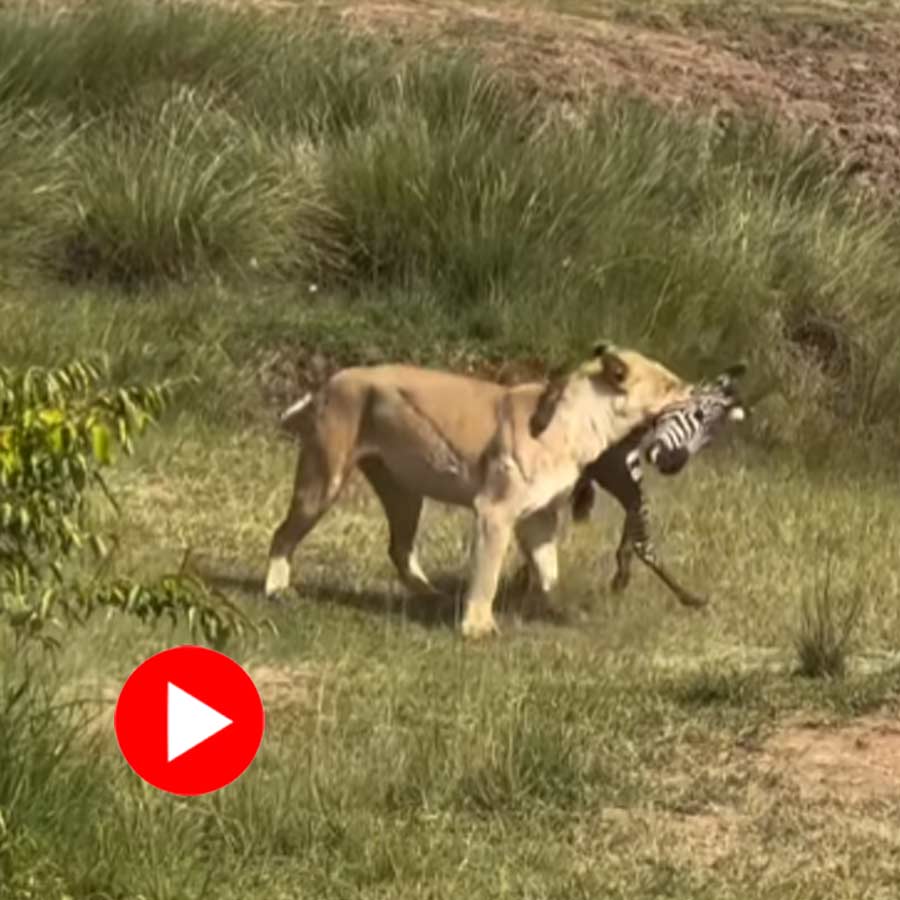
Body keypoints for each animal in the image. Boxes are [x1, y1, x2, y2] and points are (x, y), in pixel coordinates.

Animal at [264, 342, 694, 639]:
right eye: (669, 384)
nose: (695, 392)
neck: (579, 420)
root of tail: (329, 381)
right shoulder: (495, 513)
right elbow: (487, 573)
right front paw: (478, 627)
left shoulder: (539, 520)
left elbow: (549, 569)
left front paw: (556, 608)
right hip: (323, 481)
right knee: (282, 534)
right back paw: (277, 590)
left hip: (405, 494)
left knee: (400, 549)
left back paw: (433, 598)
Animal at [569, 363, 748, 608]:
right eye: (698, 415)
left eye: (708, 442)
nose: (673, 464)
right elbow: (642, 542)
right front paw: (690, 598)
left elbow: (633, 532)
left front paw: (620, 578)